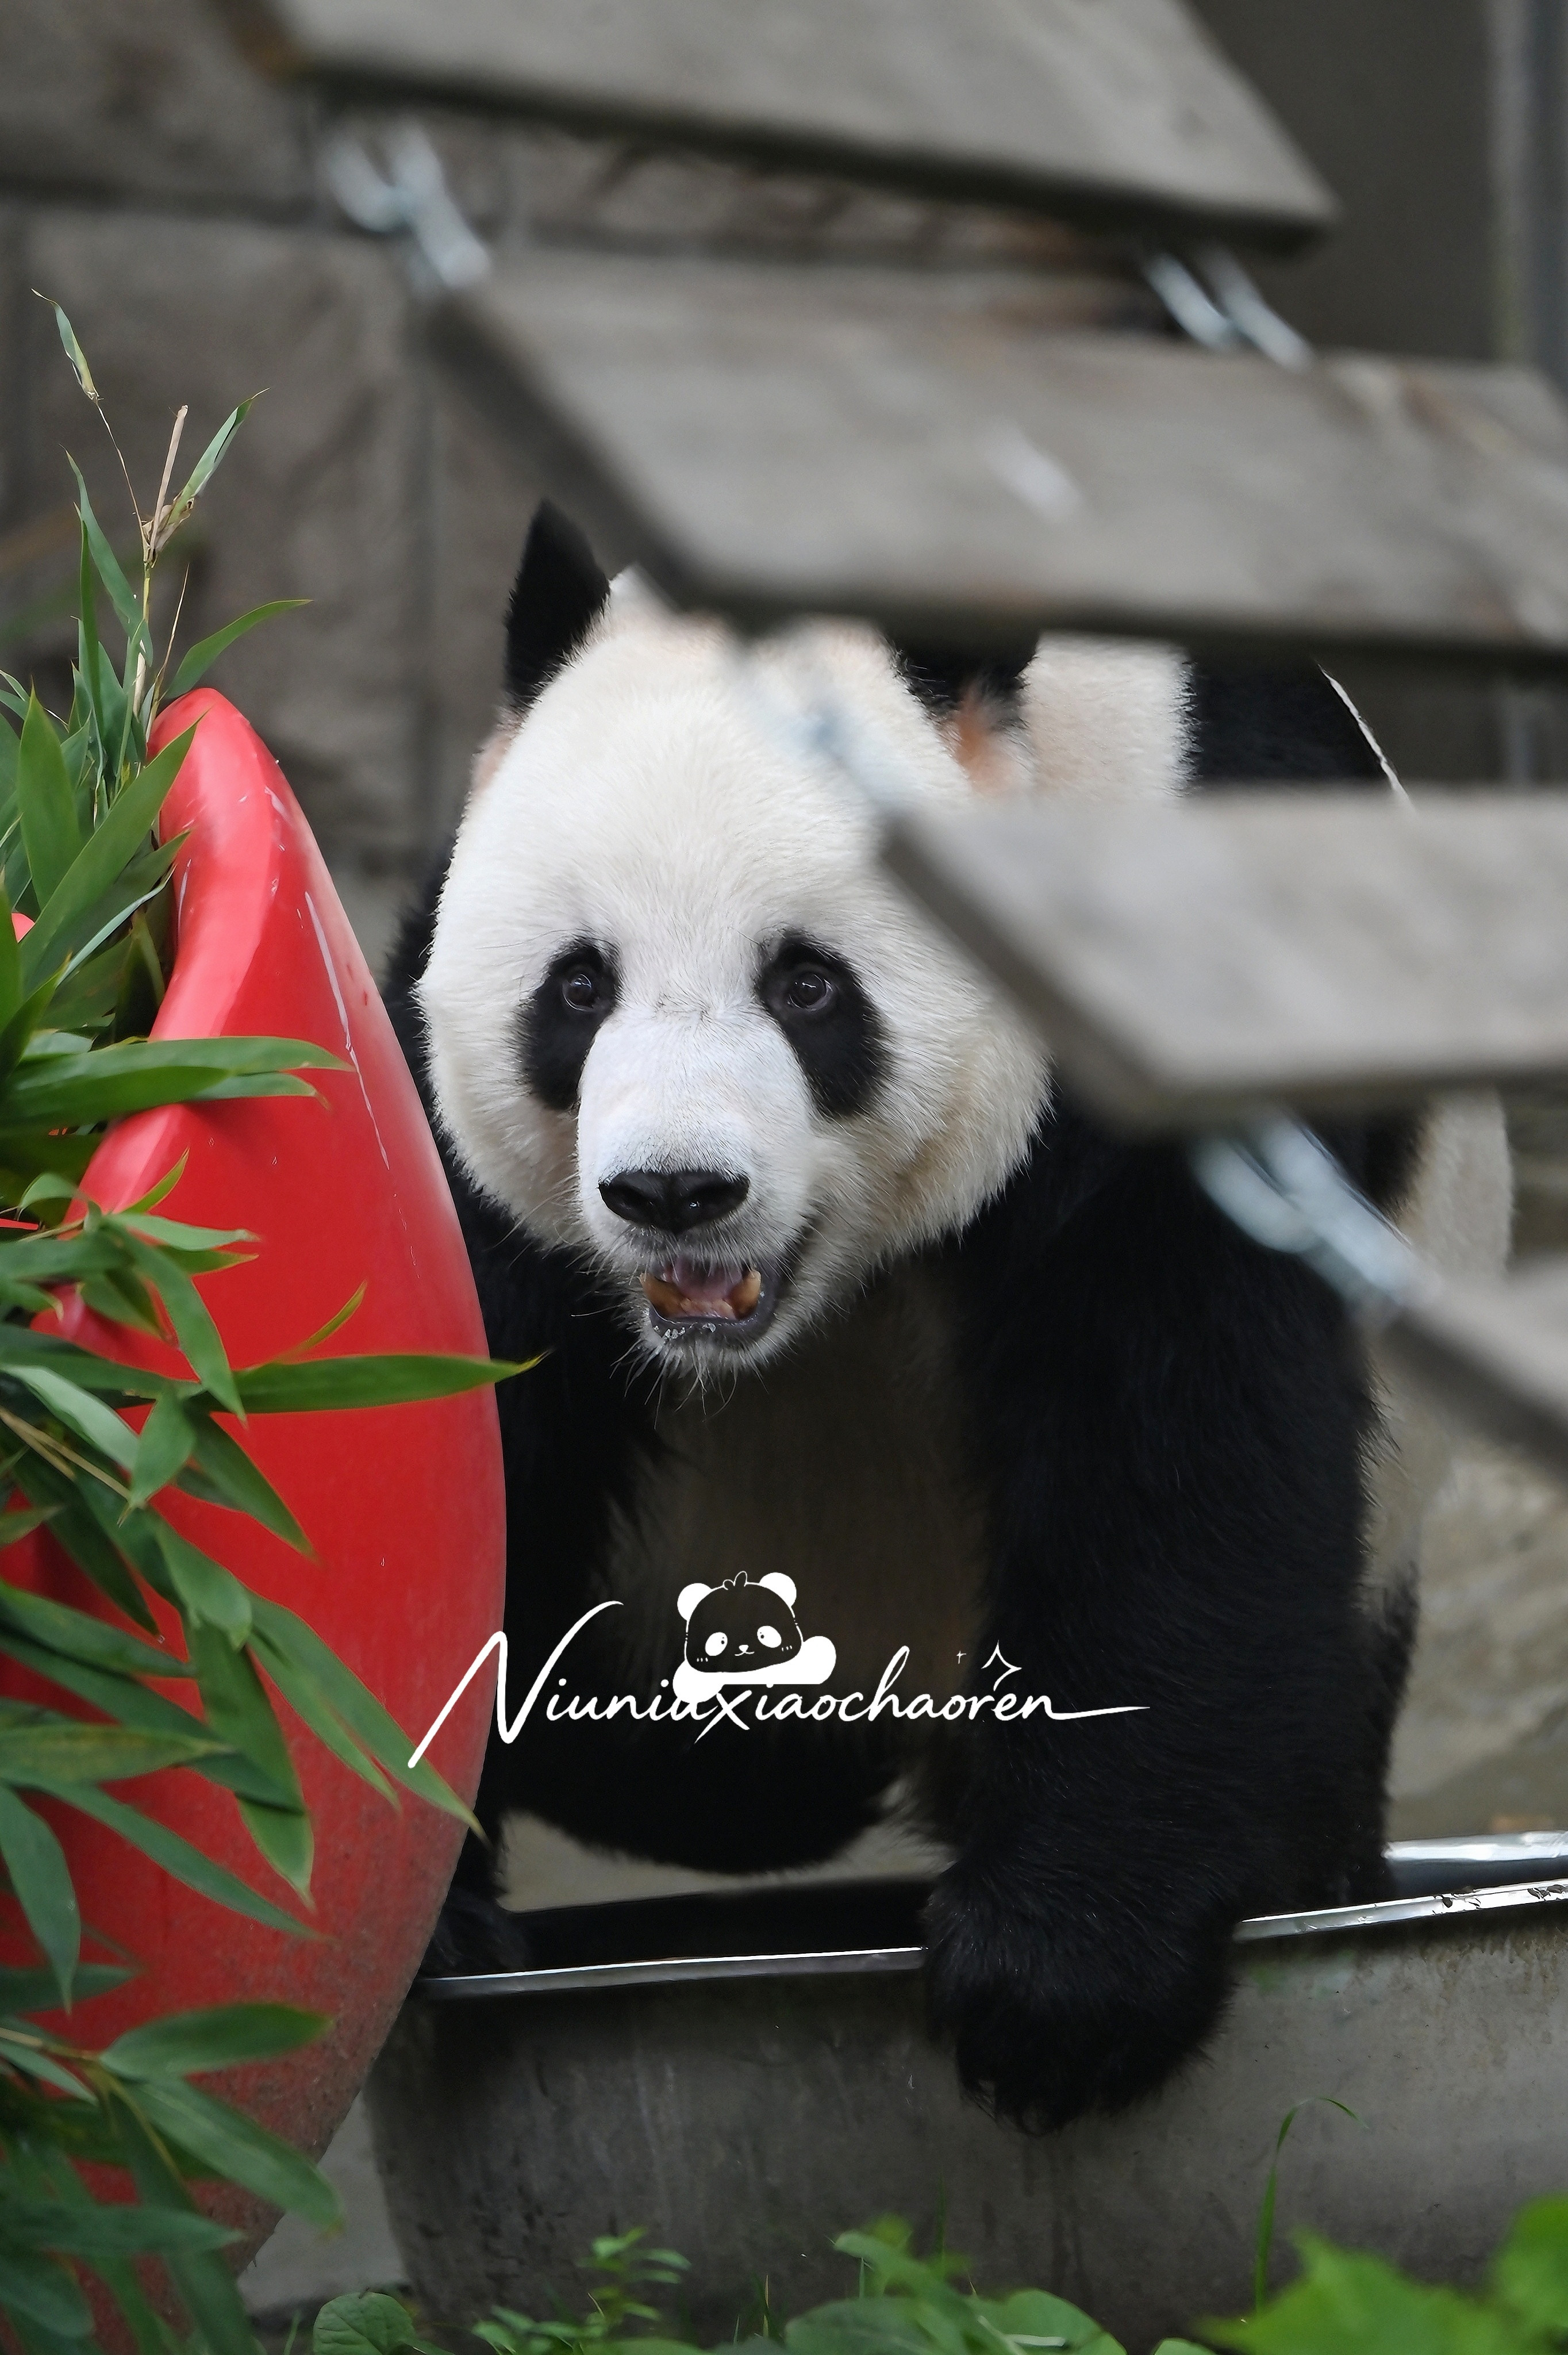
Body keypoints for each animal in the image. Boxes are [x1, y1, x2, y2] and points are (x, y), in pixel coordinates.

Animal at [385, 501, 1511, 2129]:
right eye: (577, 988)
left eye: (806, 985)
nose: (675, 1192)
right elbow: (453, 1417)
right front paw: (415, 1913)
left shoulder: (1191, 1010)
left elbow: (1183, 1440)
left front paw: (1055, 1982)